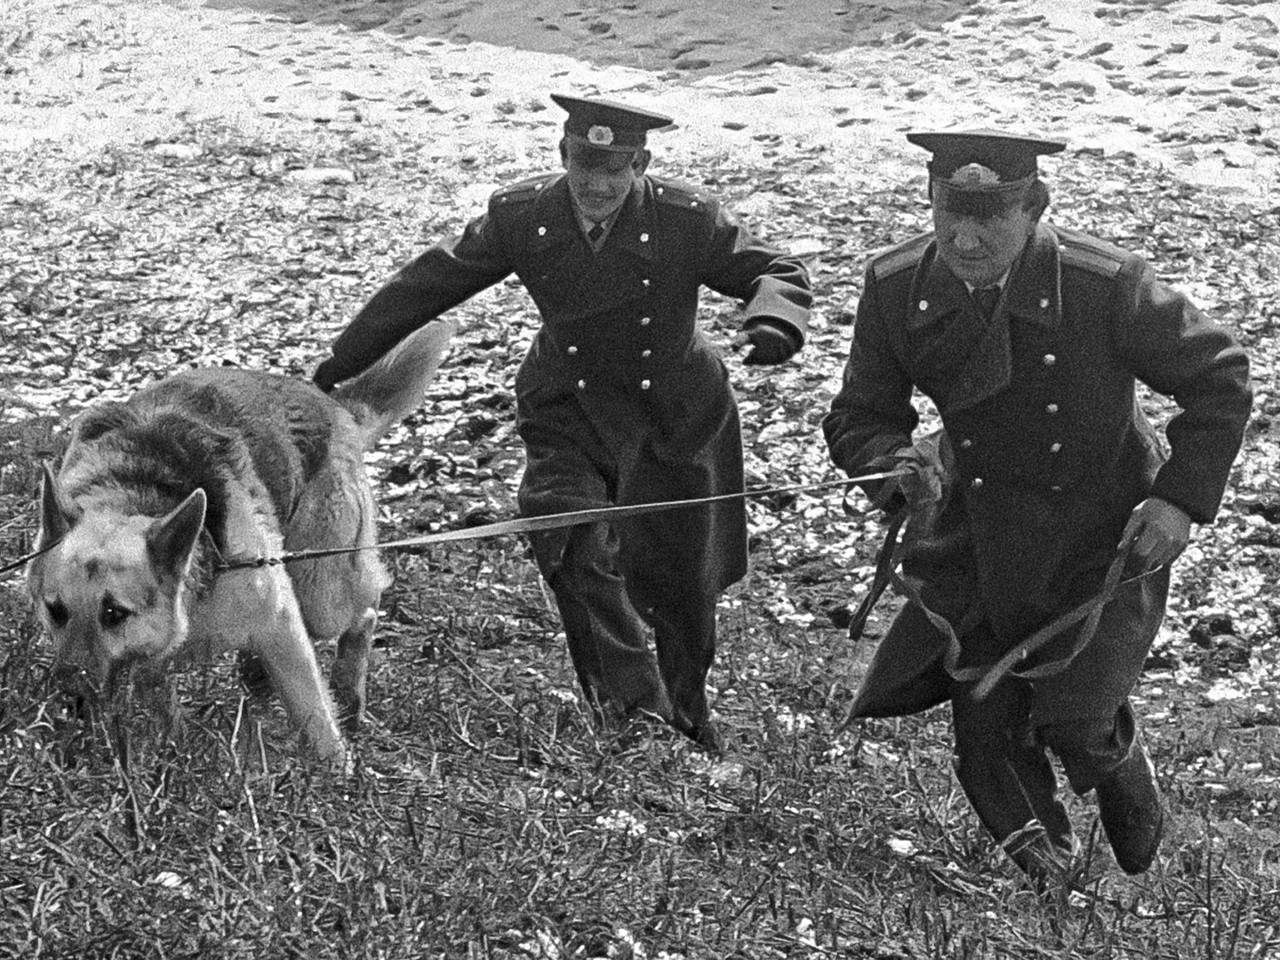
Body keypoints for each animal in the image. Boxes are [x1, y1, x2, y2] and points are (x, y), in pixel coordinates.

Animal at [26, 323, 455, 768]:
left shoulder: (280, 623)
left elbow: (313, 712)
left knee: (363, 613)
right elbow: (160, 700)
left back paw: (348, 692)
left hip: (319, 590)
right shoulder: (153, 662)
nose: (72, 700)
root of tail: (330, 402)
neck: (130, 491)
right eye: (55, 610)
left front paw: (337, 770)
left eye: (113, 613)